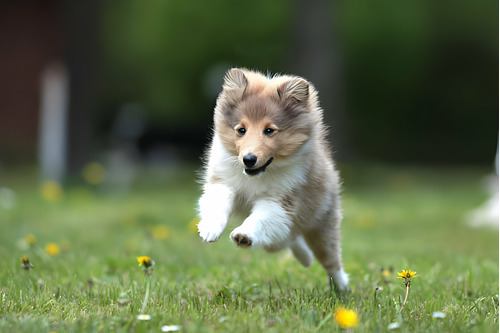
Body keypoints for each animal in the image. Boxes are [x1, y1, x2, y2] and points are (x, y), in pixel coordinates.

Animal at [197, 67, 350, 290]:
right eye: (241, 129)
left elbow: (259, 218)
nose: (248, 159)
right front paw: (210, 229)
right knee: (286, 239)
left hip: (321, 224)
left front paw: (243, 236)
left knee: (330, 259)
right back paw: (306, 258)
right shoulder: (223, 181)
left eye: (269, 130)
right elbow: (218, 202)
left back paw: (342, 287)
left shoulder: (279, 202)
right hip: (286, 233)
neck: (259, 174)